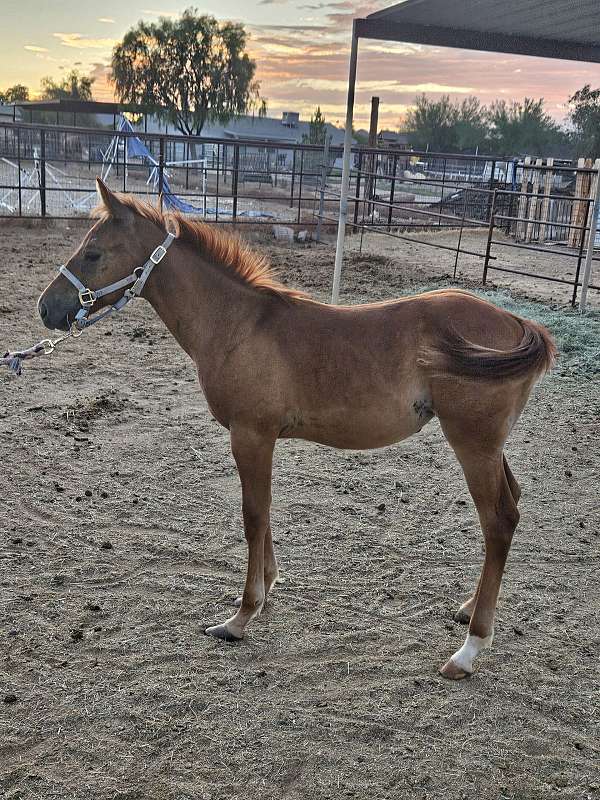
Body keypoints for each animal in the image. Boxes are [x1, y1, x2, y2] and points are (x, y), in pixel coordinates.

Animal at [37, 181, 556, 680]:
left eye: (93, 253)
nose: (46, 309)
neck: (238, 325)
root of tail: (518, 321)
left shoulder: (250, 434)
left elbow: (252, 516)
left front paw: (241, 617)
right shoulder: (259, 438)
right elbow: (264, 513)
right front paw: (265, 589)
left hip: (472, 445)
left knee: (499, 521)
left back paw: (469, 649)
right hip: (491, 447)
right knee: (511, 506)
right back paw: (469, 607)